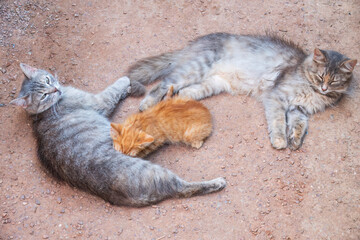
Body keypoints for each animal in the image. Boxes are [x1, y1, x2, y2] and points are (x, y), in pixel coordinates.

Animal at [10, 63, 225, 206]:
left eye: (47, 80)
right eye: (44, 95)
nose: (55, 88)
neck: (42, 114)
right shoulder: (99, 101)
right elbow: (118, 84)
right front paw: (127, 81)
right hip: (157, 172)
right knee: (185, 188)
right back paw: (217, 182)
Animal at [128, 32, 356, 150]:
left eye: (334, 81)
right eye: (321, 76)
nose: (323, 87)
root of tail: (194, 44)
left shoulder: (297, 109)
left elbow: (299, 125)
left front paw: (295, 141)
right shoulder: (277, 98)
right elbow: (278, 122)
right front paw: (280, 140)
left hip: (212, 83)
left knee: (182, 92)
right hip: (194, 69)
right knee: (164, 84)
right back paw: (147, 104)